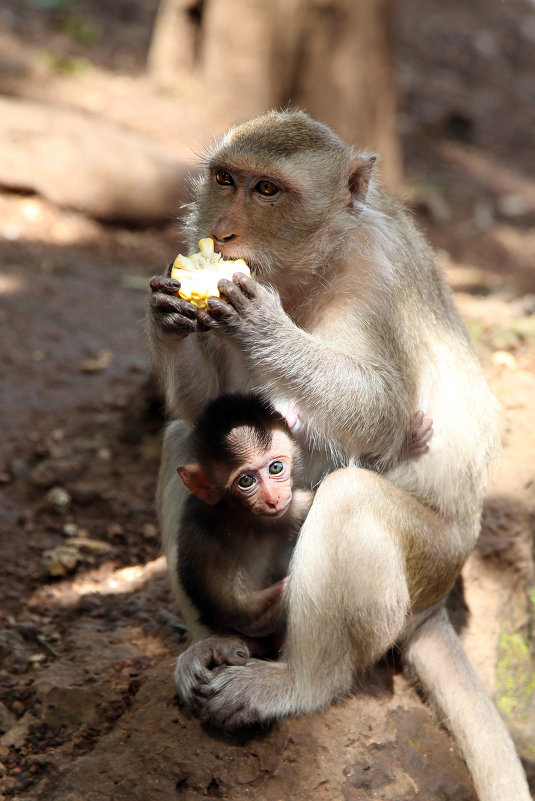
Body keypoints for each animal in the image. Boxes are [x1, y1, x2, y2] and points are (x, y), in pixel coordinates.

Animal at [178, 392, 434, 656]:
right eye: (246, 481)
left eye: (276, 467)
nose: (273, 498)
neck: (229, 507)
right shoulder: (276, 515)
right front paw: (402, 449)